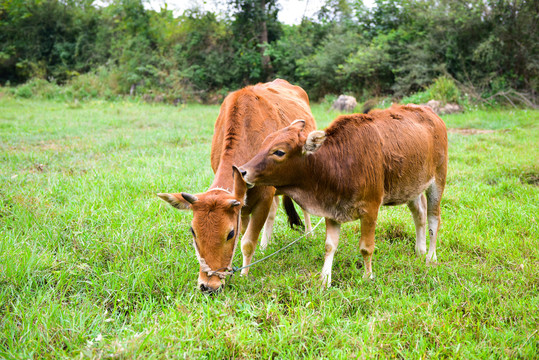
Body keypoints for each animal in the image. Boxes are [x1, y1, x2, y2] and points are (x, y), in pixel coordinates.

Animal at [239, 104, 448, 286]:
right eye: (264, 143)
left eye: (279, 152)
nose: (242, 171)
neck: (338, 163)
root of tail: (431, 113)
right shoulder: (332, 209)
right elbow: (330, 246)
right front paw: (325, 280)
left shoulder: (370, 208)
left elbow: (366, 247)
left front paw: (368, 277)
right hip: (413, 187)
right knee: (419, 214)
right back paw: (419, 250)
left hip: (437, 181)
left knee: (433, 219)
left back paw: (431, 257)